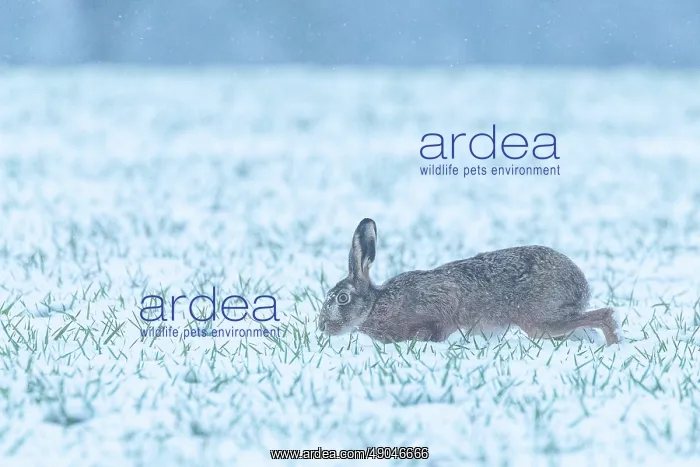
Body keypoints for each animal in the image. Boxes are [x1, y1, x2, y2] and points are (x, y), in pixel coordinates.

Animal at [317, 218, 622, 346]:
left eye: (342, 298)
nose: (322, 327)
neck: (377, 304)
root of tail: (580, 283)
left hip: (540, 321)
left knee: (604, 315)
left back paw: (614, 345)